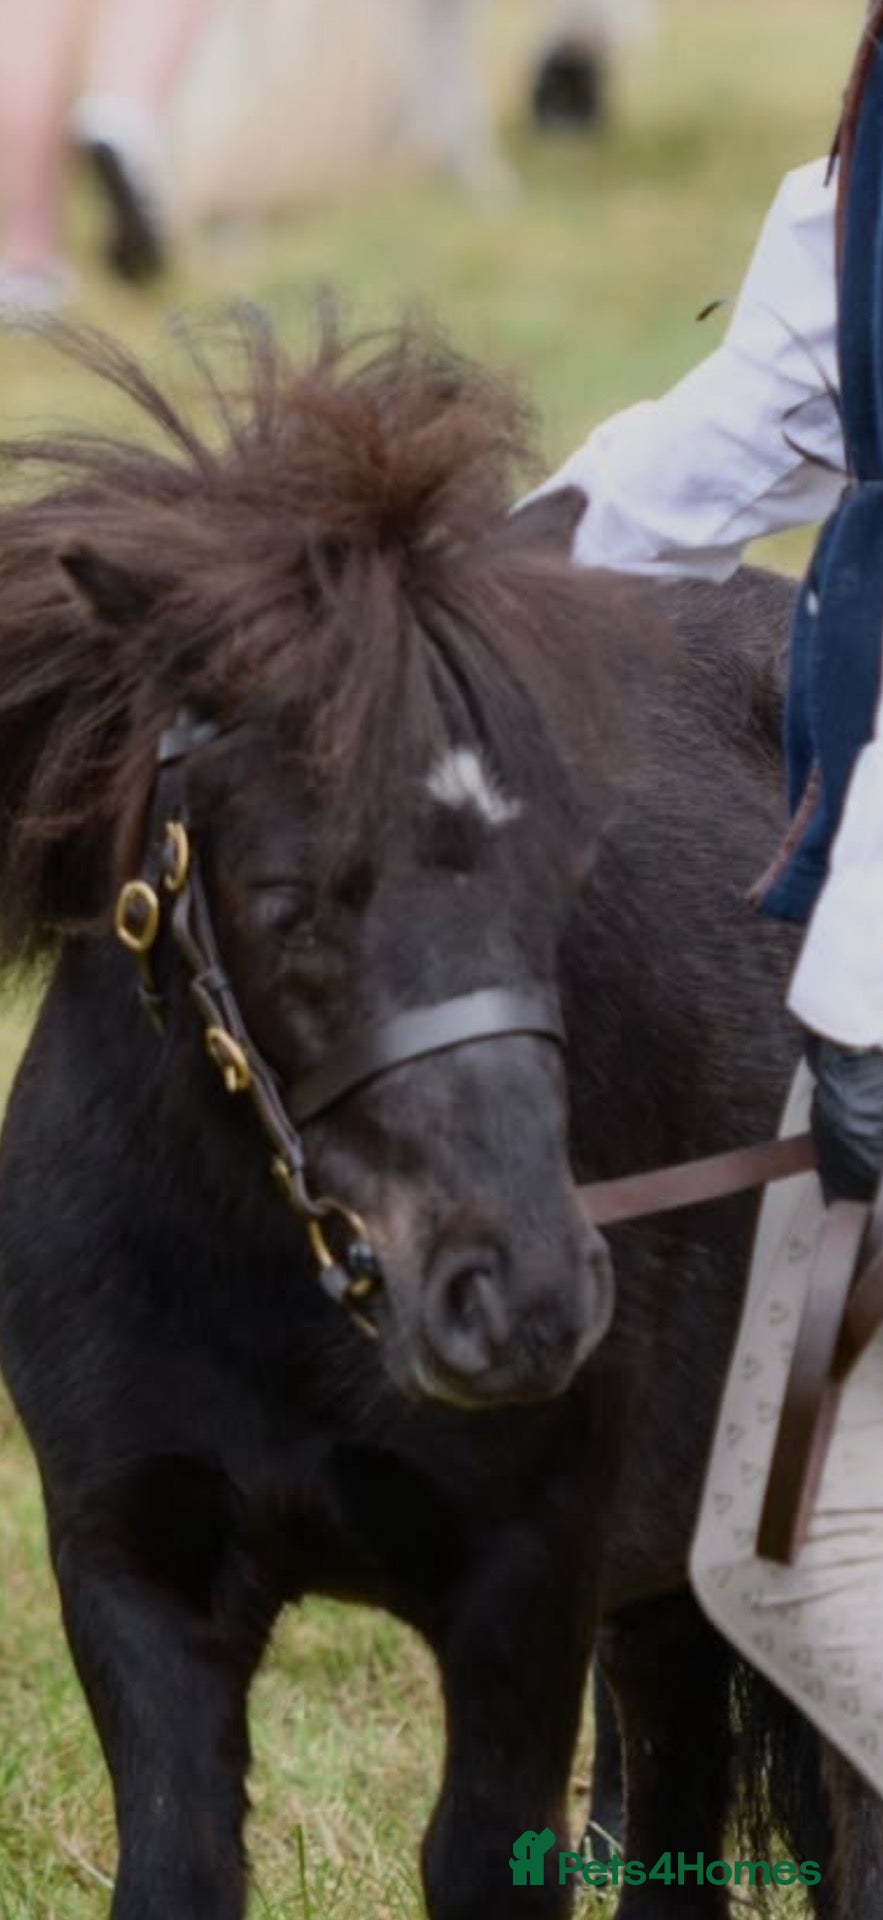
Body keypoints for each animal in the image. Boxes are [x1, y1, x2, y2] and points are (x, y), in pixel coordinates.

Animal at [0, 314, 879, 1920]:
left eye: (561, 870)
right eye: (287, 895)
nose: (522, 1300)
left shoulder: (522, 1589)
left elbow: (482, 1859)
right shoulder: (131, 1577)